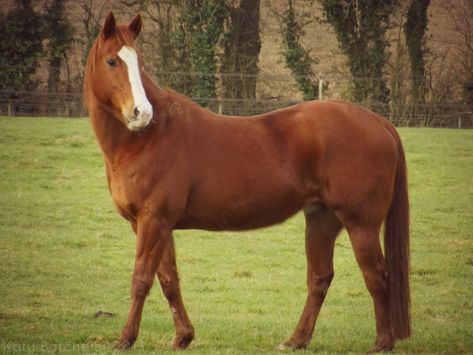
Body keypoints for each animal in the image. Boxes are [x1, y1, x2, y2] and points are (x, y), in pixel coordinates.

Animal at [83, 12, 408, 354]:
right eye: (111, 61)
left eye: (139, 63)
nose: (142, 113)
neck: (151, 137)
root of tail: (379, 122)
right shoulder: (153, 224)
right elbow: (168, 279)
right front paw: (183, 336)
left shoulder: (153, 220)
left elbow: (141, 278)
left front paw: (125, 338)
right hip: (322, 219)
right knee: (320, 278)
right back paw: (296, 340)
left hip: (361, 224)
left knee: (378, 276)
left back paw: (382, 343)